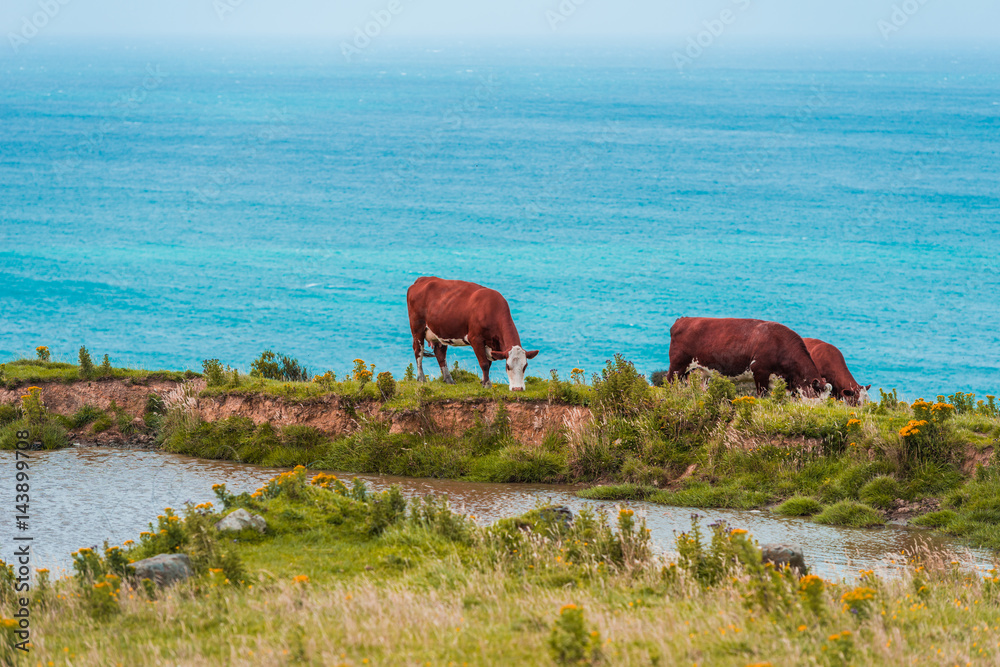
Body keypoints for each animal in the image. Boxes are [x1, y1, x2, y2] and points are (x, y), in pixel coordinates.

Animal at [406, 276, 540, 392]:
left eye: (525, 366)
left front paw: (483, 382)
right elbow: (484, 363)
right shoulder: (476, 338)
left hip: (439, 331)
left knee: (440, 354)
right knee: (418, 351)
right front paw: (487, 384)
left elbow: (488, 363)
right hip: (417, 327)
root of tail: (422, 279)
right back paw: (421, 378)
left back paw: (449, 379)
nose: (518, 388)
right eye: (508, 366)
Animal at [668, 318, 824, 396]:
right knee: (670, 381)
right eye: (817, 394)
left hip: (700, 371)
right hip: (678, 364)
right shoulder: (760, 371)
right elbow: (762, 395)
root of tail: (683, 319)